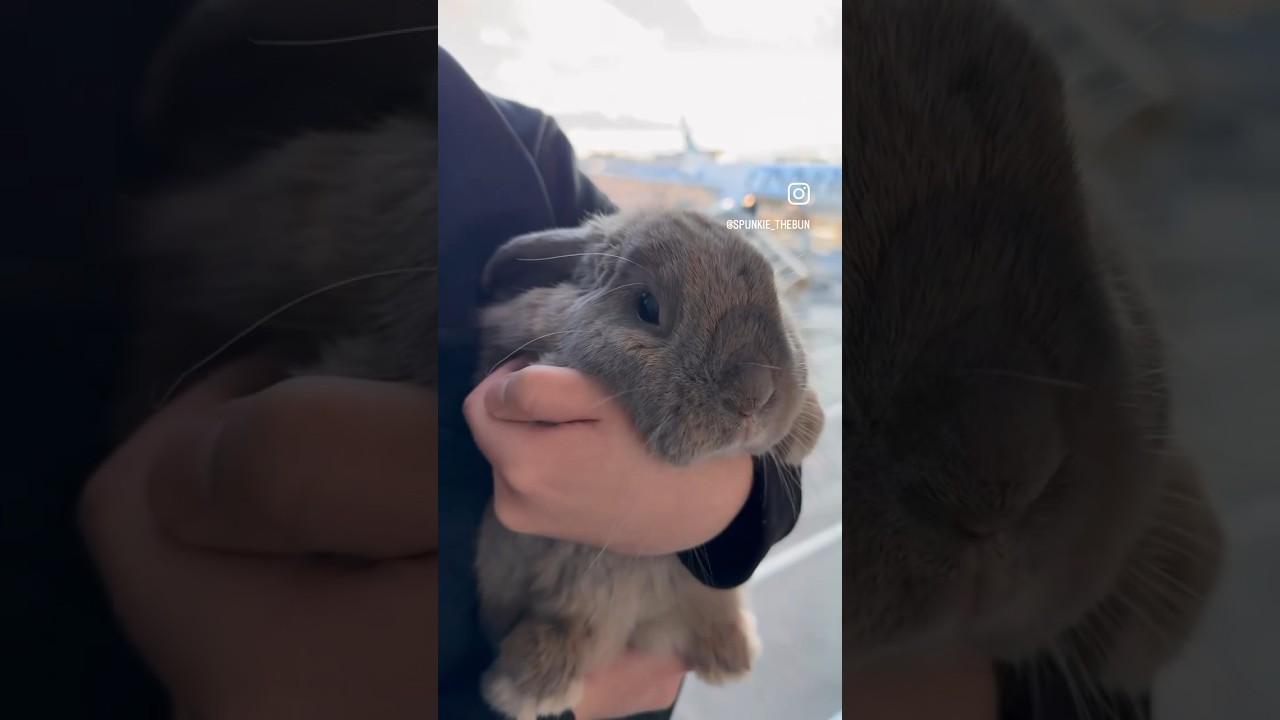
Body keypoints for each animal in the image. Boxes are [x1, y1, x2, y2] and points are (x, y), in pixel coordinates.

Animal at [472, 208, 826, 720]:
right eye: (646, 307)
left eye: (776, 297)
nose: (755, 395)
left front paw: (807, 426)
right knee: (568, 624)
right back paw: (528, 684)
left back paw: (730, 651)